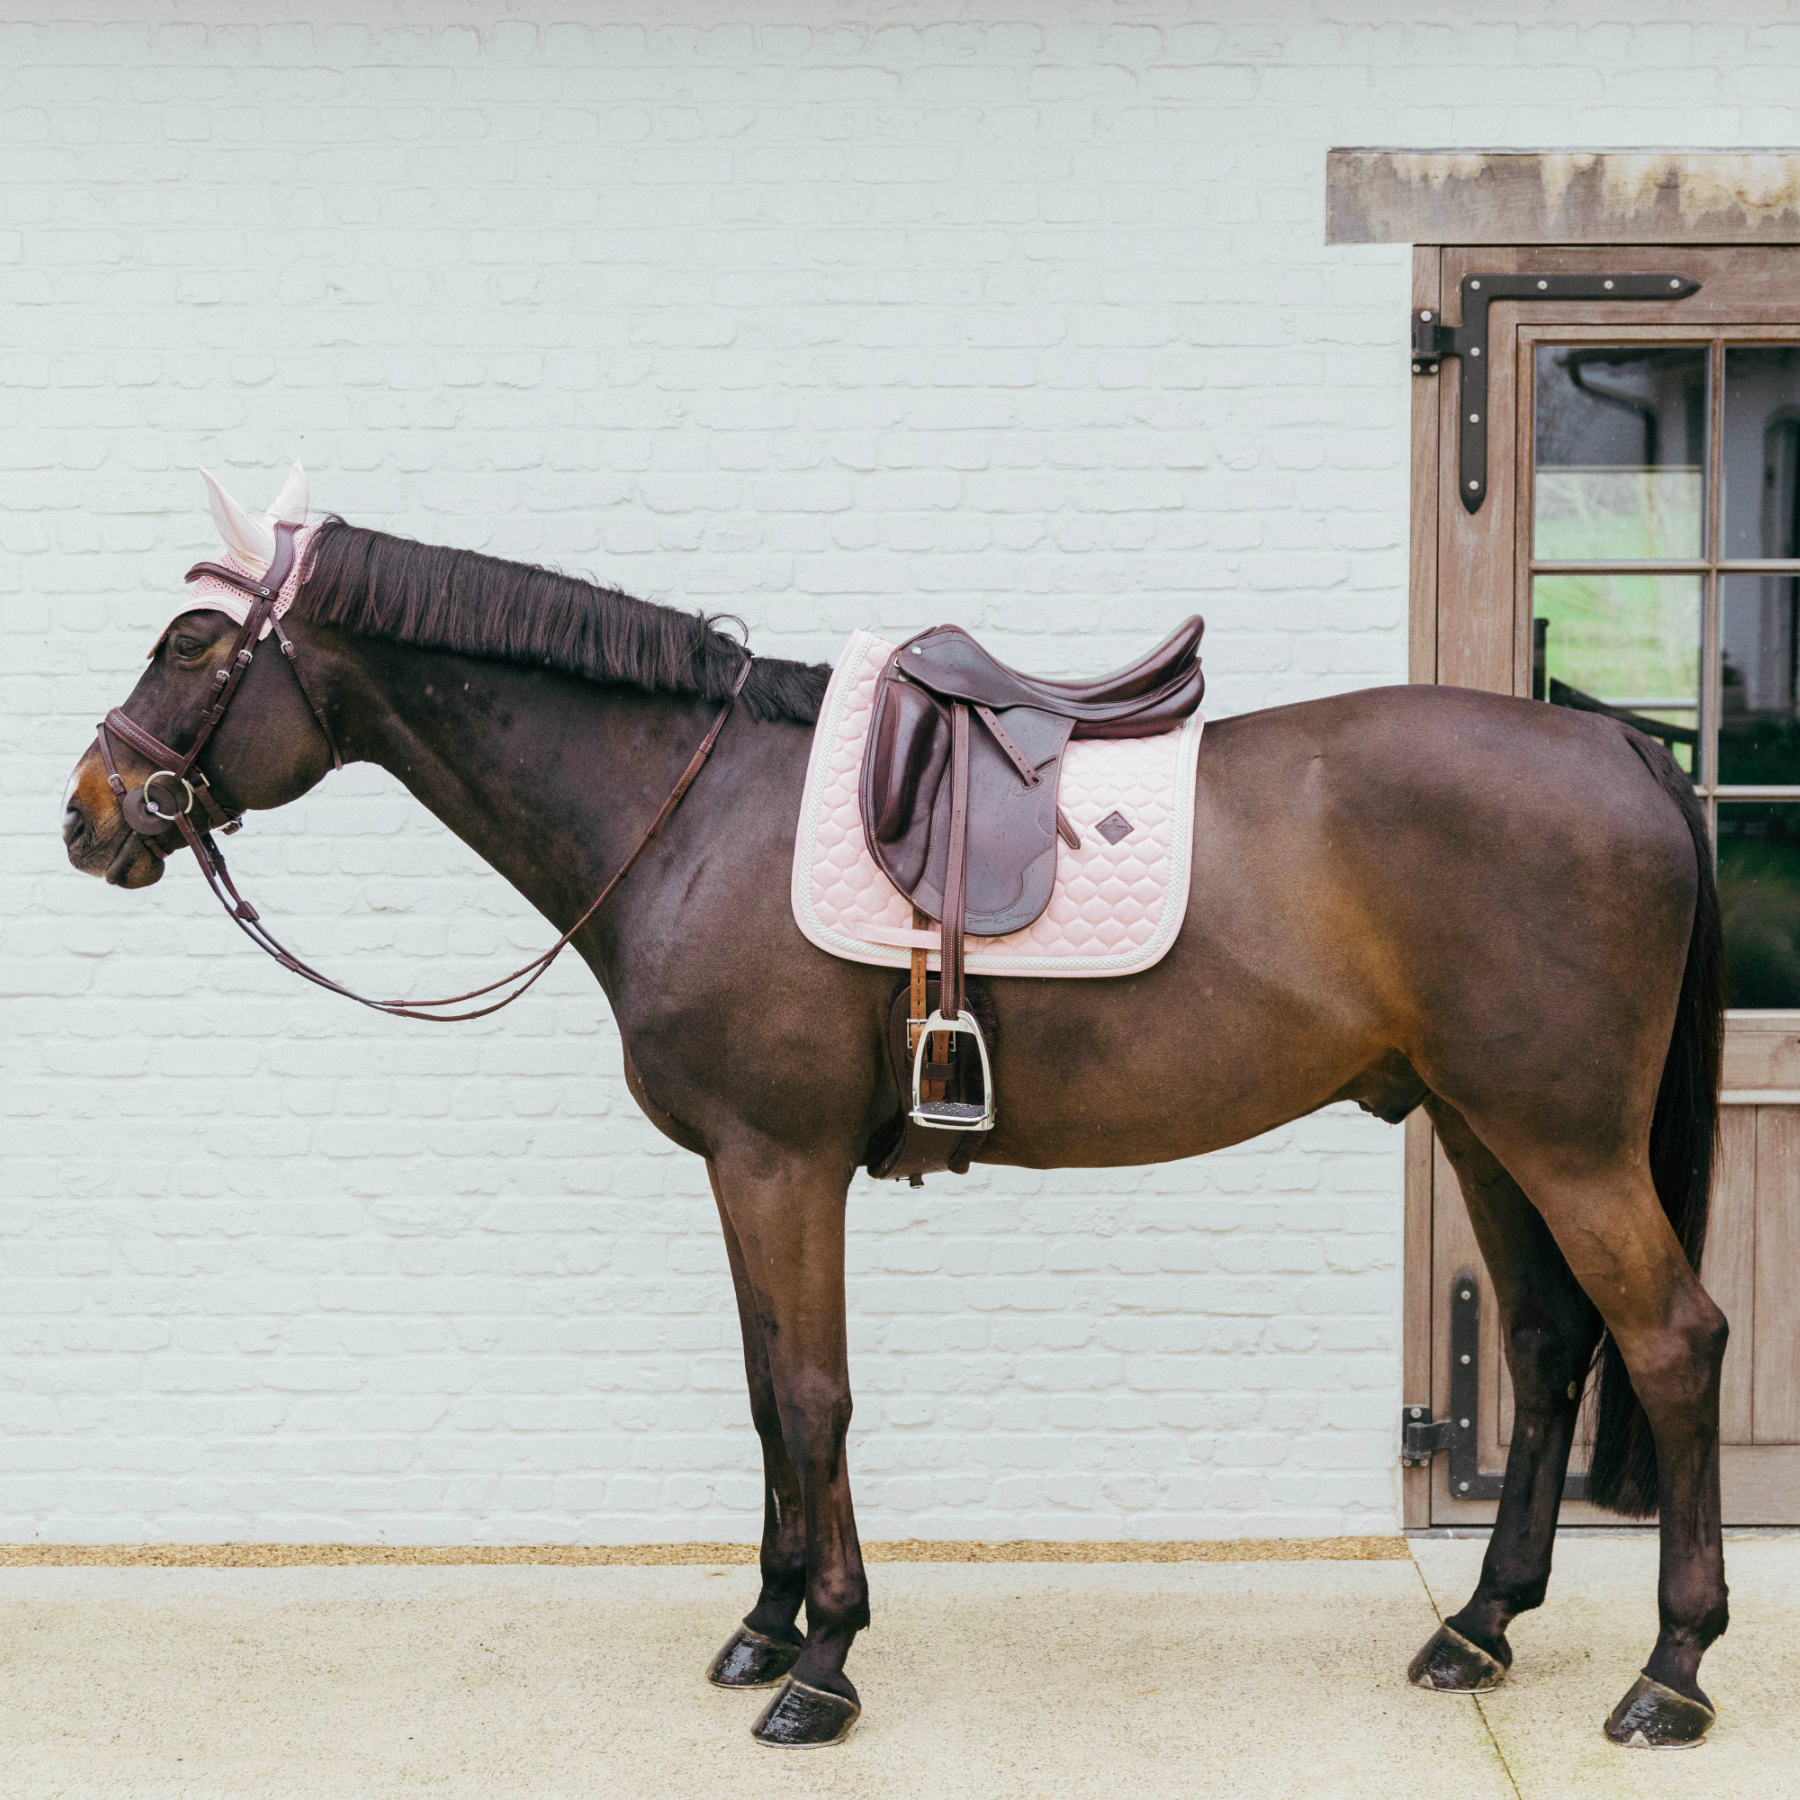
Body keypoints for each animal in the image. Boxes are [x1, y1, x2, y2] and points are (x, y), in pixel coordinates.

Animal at [63, 504, 1728, 1742]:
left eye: (195, 641)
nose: (88, 813)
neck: (694, 813)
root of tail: (1622, 749)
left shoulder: (780, 1162)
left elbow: (812, 1398)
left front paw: (821, 1666)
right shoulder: (750, 1173)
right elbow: (766, 1396)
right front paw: (763, 1624)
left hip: (1562, 1139)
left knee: (1672, 1342)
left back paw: (1669, 1675)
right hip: (1481, 1123)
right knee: (1549, 1344)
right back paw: (1480, 1630)